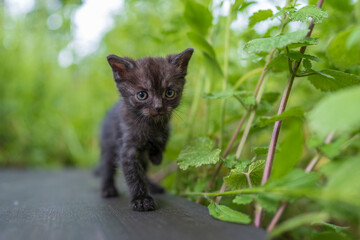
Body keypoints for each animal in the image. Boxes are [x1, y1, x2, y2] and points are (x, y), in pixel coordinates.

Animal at [97, 48, 194, 212]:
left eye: (169, 93)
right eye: (142, 95)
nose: (158, 107)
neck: (150, 125)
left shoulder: (166, 128)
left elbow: (161, 141)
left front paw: (156, 156)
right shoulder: (127, 149)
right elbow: (134, 175)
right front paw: (141, 199)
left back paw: (153, 185)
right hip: (108, 145)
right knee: (107, 166)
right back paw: (107, 189)